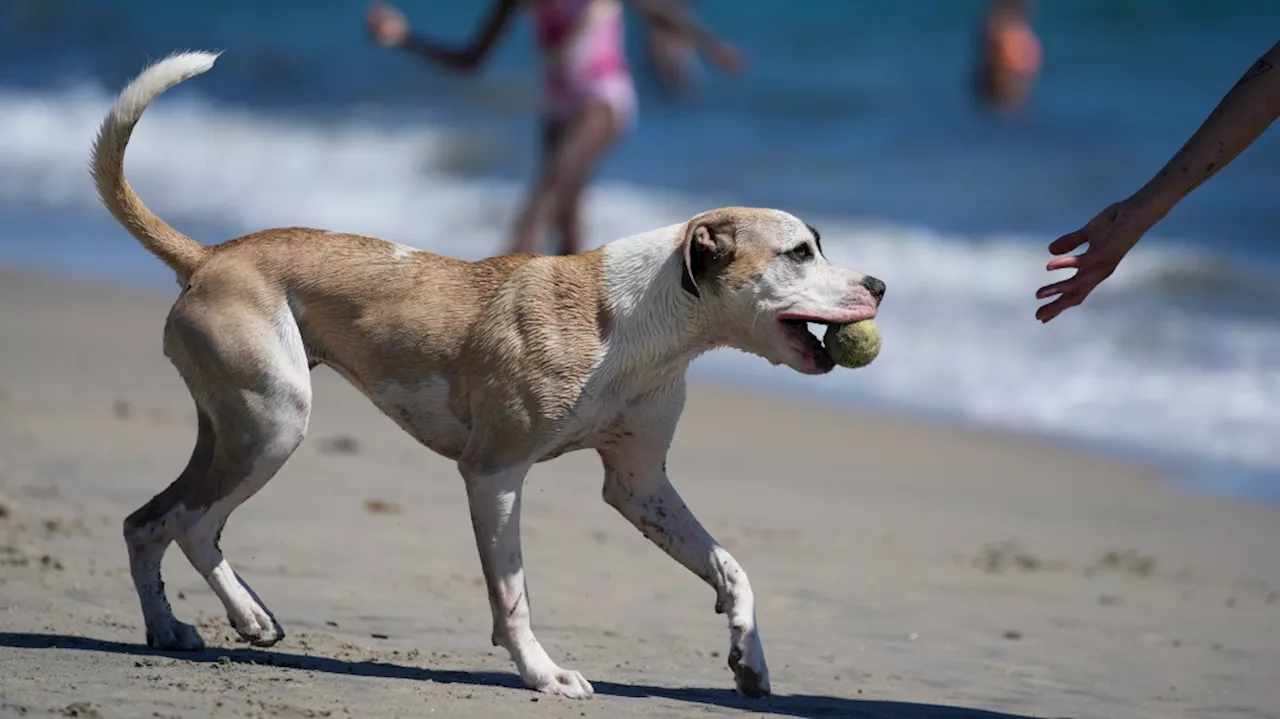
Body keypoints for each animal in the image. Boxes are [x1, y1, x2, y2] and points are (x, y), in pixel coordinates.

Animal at [94, 51, 885, 701]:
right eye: (799, 253)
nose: (879, 283)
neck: (642, 321)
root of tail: (211, 255)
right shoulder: (495, 474)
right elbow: (513, 595)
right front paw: (544, 674)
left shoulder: (639, 484)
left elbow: (730, 567)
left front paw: (749, 658)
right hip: (274, 423)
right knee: (194, 524)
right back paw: (249, 616)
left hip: (233, 427)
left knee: (148, 521)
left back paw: (170, 628)